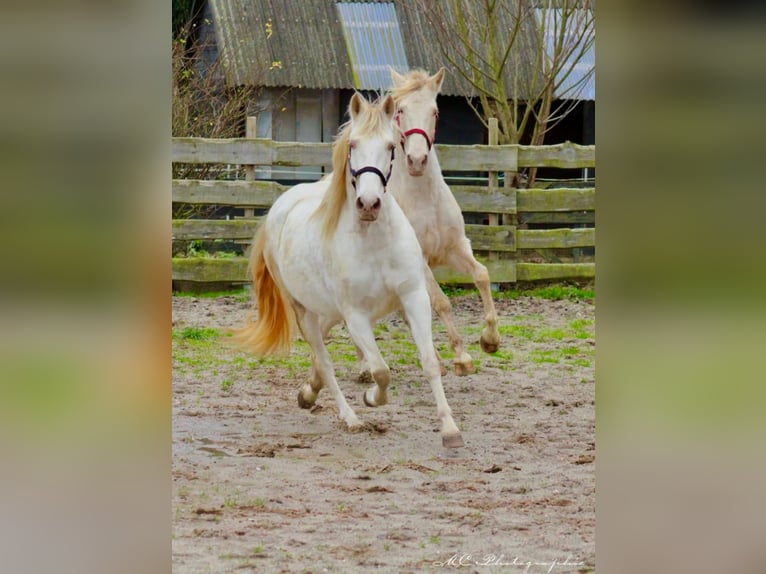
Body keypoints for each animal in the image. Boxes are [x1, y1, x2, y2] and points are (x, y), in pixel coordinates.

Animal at [236, 93, 462, 450]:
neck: (376, 244)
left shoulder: (414, 298)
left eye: (390, 146)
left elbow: (429, 362)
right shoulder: (355, 314)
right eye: (353, 144)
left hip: (328, 310)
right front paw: (371, 398)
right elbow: (381, 371)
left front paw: (450, 428)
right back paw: (349, 418)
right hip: (304, 311)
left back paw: (309, 393)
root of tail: (281, 205)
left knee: (321, 359)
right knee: (324, 361)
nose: (368, 204)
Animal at [390, 68, 504, 378]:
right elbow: (441, 302)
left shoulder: (455, 248)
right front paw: (462, 357)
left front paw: (490, 340)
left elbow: (483, 275)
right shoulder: (421, 261)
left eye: (435, 112)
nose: (417, 160)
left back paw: (435, 362)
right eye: (400, 110)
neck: (426, 199)